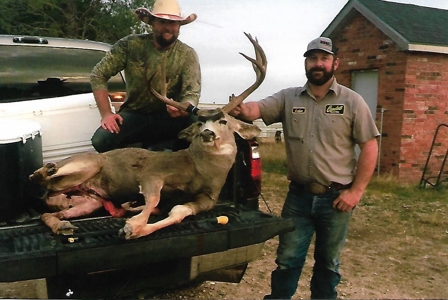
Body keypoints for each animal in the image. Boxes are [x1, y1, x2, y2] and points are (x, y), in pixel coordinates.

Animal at [29, 32, 268, 239]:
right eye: (200, 122)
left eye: (223, 121)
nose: (207, 133)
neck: (200, 169)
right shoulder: (152, 174)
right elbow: (154, 199)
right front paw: (132, 225)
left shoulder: (207, 199)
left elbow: (177, 211)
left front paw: (135, 221)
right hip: (89, 163)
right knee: (38, 177)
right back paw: (47, 169)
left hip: (89, 200)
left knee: (48, 212)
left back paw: (63, 225)